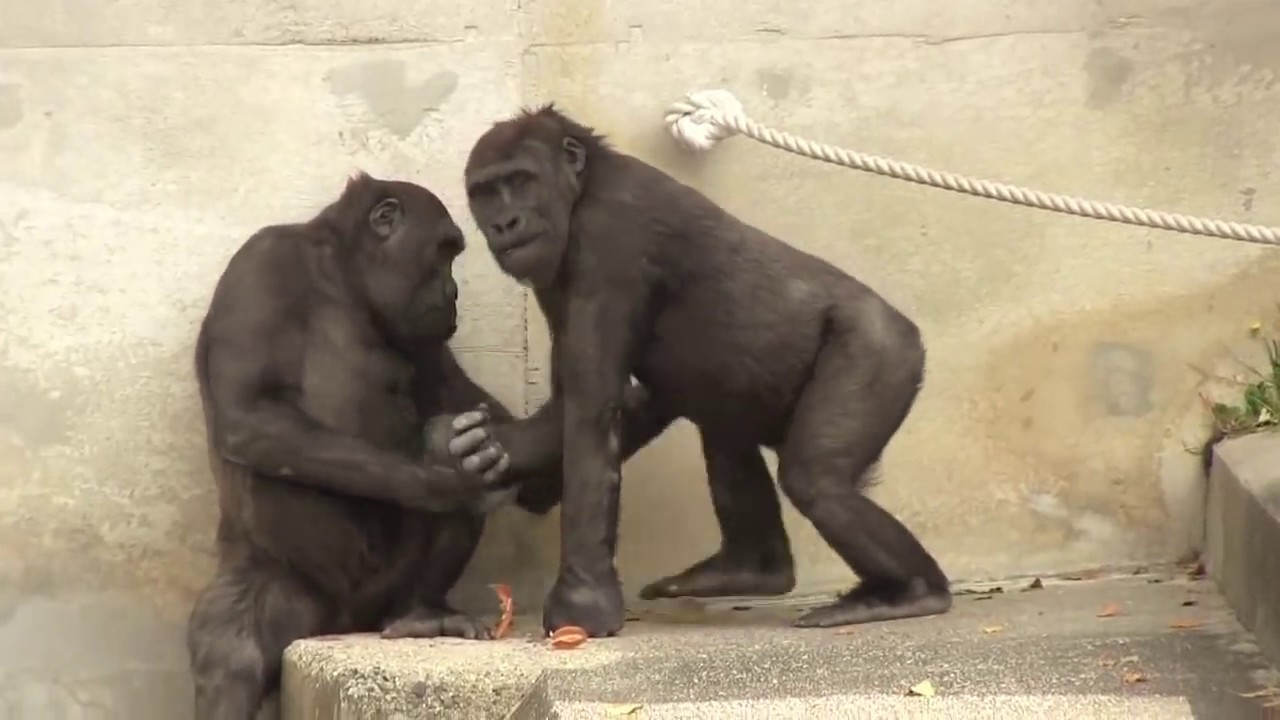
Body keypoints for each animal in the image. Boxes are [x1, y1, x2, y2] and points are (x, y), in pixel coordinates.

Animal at [185, 172, 556, 720]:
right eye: (443, 251)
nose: (452, 292)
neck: (342, 275)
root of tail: (346, 624)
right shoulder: (261, 261)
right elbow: (249, 410)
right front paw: (443, 476)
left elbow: (473, 408)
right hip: (292, 594)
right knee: (232, 660)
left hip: (384, 599)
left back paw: (422, 612)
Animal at [462, 105, 953, 638]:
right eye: (485, 192)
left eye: (521, 180)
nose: (504, 222)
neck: (583, 184)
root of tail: (911, 332)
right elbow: (604, 399)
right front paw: (506, 449)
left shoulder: (607, 236)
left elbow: (591, 412)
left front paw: (582, 602)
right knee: (721, 411)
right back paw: (752, 568)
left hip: (882, 349)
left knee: (819, 479)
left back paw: (912, 592)